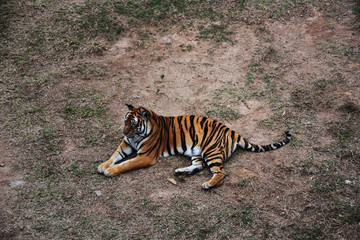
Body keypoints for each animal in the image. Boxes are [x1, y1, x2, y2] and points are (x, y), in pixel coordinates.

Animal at [97, 104, 292, 190]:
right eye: (125, 120)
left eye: (134, 124)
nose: (124, 132)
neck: (137, 136)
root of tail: (232, 131)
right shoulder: (126, 144)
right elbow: (114, 155)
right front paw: (103, 165)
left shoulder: (146, 156)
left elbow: (126, 164)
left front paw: (110, 171)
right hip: (197, 151)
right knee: (199, 166)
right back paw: (180, 172)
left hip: (211, 152)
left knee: (221, 172)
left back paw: (208, 184)